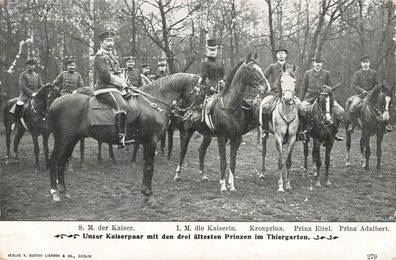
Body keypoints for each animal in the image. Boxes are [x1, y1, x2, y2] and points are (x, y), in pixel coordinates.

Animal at [47, 72, 204, 203]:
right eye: (201, 94)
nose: (196, 118)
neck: (154, 102)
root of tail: (55, 102)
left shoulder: (147, 143)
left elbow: (147, 166)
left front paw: (145, 193)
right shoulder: (151, 142)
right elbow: (149, 167)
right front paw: (148, 195)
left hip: (71, 141)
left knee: (62, 162)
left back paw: (63, 191)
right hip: (63, 140)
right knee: (54, 161)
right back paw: (55, 192)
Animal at [171, 53, 270, 191]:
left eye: (260, 68)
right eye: (252, 69)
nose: (266, 87)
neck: (229, 107)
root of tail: (187, 107)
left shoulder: (236, 138)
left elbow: (233, 162)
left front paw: (232, 185)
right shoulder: (222, 138)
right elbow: (223, 162)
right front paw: (223, 185)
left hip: (207, 135)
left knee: (201, 151)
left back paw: (202, 175)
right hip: (187, 132)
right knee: (183, 151)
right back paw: (177, 175)